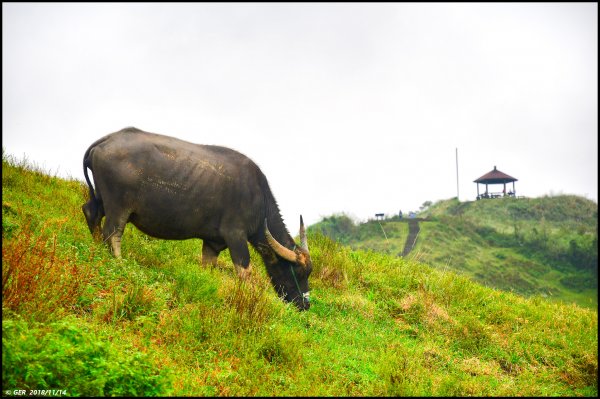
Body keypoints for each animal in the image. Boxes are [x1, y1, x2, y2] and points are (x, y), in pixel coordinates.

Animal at [82, 126, 314, 310]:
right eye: (297, 272)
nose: (305, 304)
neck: (259, 199)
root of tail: (107, 140)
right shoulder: (236, 236)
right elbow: (244, 271)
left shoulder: (212, 243)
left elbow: (208, 267)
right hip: (118, 207)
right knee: (112, 233)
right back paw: (119, 263)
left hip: (100, 199)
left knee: (90, 212)